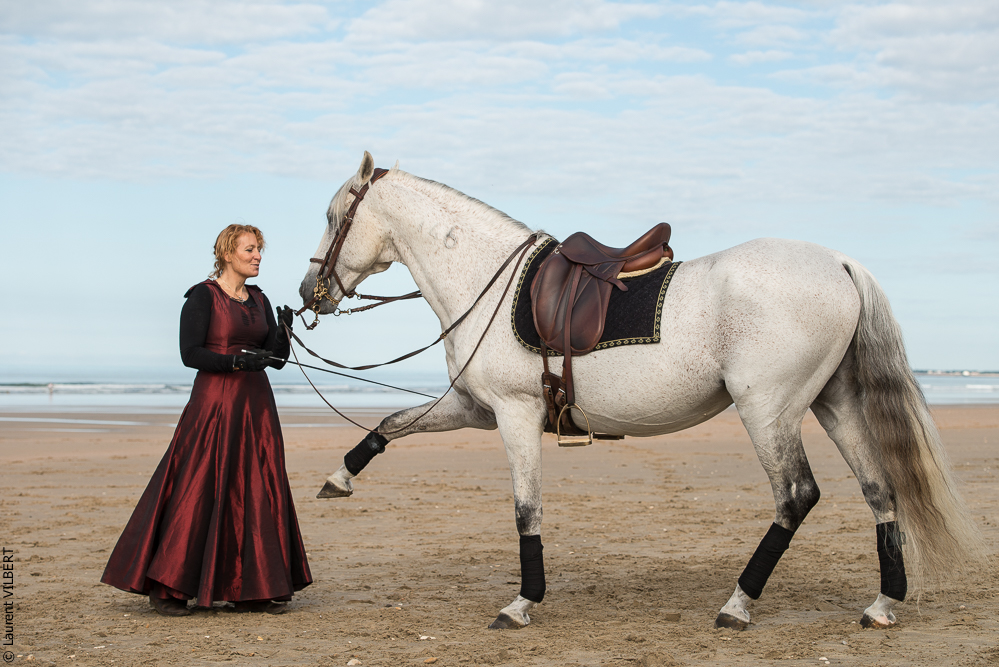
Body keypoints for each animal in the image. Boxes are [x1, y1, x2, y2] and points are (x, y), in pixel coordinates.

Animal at [298, 151, 982, 631]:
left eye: (333, 218)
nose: (310, 293)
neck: (487, 281)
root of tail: (839, 262)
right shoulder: (473, 408)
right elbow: (391, 423)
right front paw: (339, 477)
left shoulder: (515, 416)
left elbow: (526, 510)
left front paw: (522, 602)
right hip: (832, 404)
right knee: (879, 489)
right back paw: (882, 603)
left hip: (769, 410)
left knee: (795, 496)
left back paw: (738, 604)